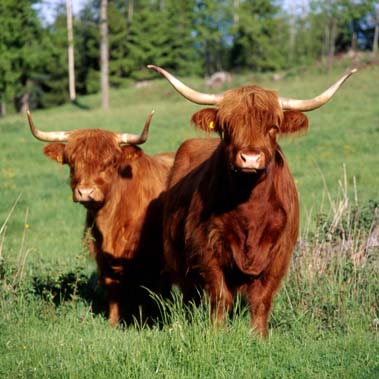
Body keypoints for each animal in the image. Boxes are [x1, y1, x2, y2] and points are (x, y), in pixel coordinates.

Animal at [27, 111, 174, 326]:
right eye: (72, 163)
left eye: (110, 163)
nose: (85, 192)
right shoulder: (101, 253)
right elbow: (112, 285)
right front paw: (113, 323)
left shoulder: (149, 257)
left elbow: (146, 290)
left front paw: (144, 322)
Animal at [149, 65, 356, 338]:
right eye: (227, 126)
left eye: (273, 127)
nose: (250, 157)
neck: (250, 211)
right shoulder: (206, 247)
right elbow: (220, 296)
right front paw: (217, 333)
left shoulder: (279, 253)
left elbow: (261, 298)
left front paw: (259, 336)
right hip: (178, 259)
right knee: (189, 295)